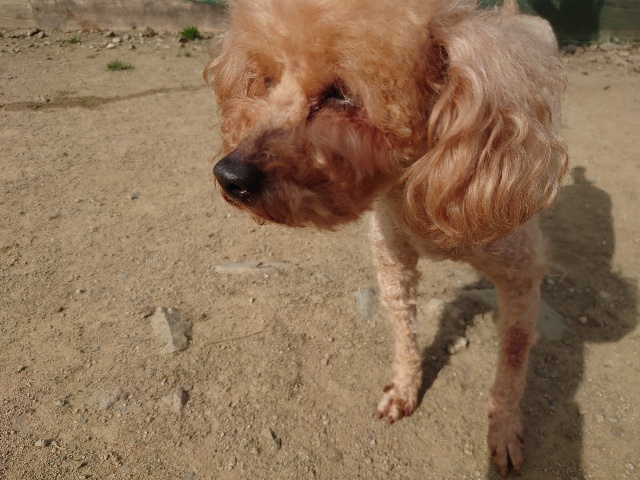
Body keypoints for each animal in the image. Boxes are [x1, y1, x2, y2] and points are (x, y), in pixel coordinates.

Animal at [204, 0, 568, 475]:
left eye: (341, 94)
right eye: (267, 79)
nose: (229, 176)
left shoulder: (520, 278)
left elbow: (512, 358)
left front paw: (504, 429)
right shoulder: (392, 257)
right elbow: (404, 331)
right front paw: (404, 389)